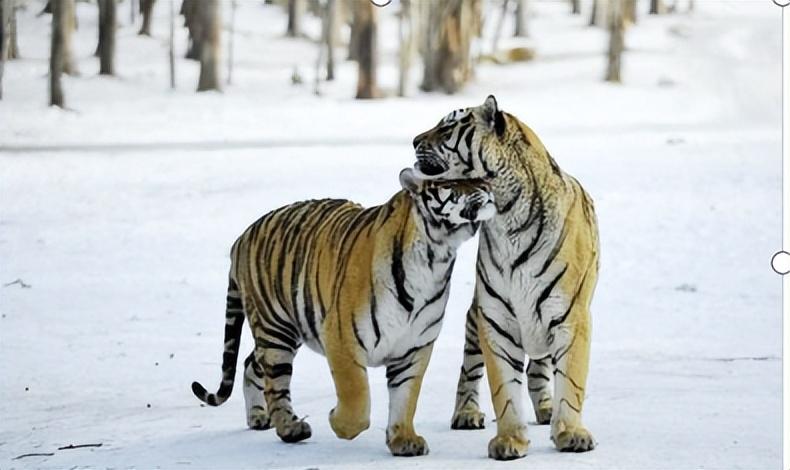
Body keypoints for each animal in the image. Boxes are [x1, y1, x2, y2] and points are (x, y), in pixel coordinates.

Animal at [191, 168, 495, 457]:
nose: (487, 186)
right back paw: (290, 428)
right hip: (276, 330)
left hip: (286, 329)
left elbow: (406, 396)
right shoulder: (341, 337)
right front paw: (338, 423)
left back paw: (258, 417)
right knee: (274, 384)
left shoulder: (414, 346)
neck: (435, 257)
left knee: (250, 364)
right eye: (452, 182)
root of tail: (242, 236)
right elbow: (356, 396)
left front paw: (403, 440)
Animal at [411, 96, 600, 460]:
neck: (507, 215)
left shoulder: (571, 317)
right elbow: (503, 387)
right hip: (475, 318)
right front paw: (510, 440)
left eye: (448, 125)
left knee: (539, 369)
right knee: (469, 369)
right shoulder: (496, 317)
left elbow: (570, 380)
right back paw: (466, 414)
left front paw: (571, 434)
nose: (413, 141)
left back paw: (546, 409)